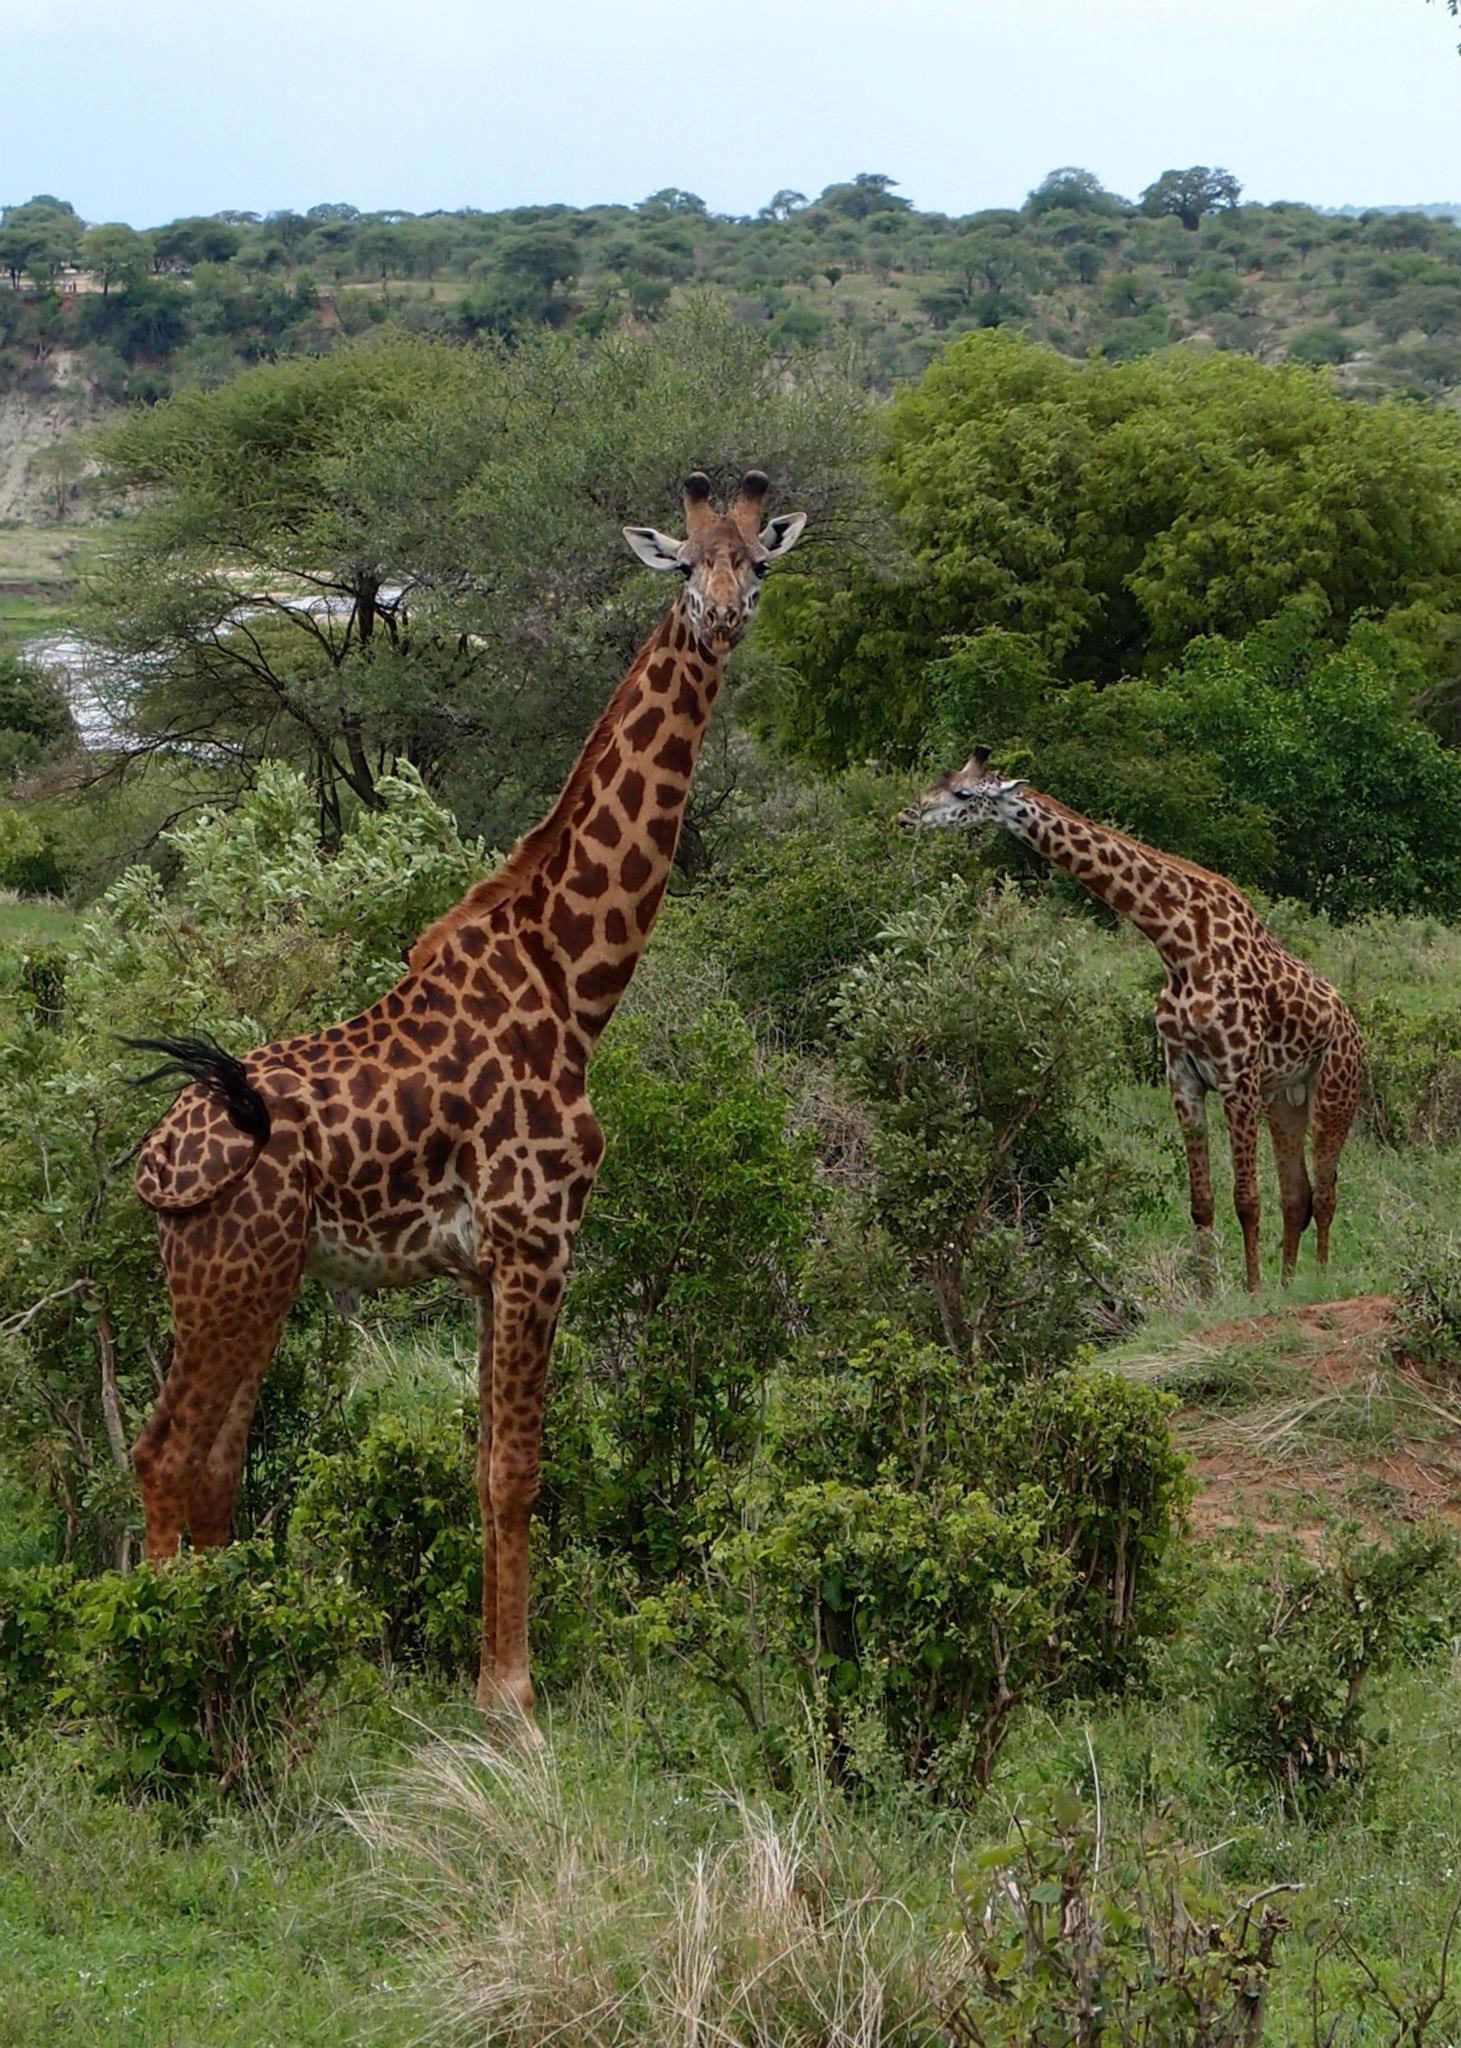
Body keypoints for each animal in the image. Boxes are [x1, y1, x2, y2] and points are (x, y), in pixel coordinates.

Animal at [125, 471, 807, 1720]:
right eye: (687, 564)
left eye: (759, 562)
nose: (724, 618)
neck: (576, 980)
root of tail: (155, 1165)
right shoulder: (540, 1234)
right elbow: (518, 1467)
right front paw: (512, 1701)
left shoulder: (489, 1259)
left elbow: (484, 1458)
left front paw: (490, 1684)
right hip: (236, 1276)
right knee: (171, 1457)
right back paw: (158, 1680)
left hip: (248, 1283)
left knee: (214, 1464)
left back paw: (231, 1654)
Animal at [901, 753, 1368, 1286]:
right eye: (942, 779)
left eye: (962, 794)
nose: (909, 815)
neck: (1178, 945)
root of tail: (1354, 1027)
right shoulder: (1183, 1075)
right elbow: (1203, 1202)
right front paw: (1208, 1291)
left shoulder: (1236, 1075)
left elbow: (1246, 1200)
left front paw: (1249, 1290)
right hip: (1284, 1099)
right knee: (1298, 1195)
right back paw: (1289, 1282)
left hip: (1334, 1090)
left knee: (1326, 1194)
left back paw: (1320, 1279)